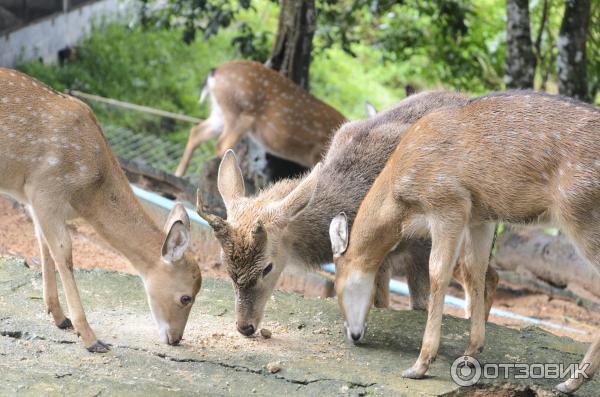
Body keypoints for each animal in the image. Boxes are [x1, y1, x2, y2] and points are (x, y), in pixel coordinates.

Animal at [0, 68, 203, 350]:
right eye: (186, 297)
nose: (175, 338)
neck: (86, 195)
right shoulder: (45, 190)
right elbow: (64, 253)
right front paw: (90, 337)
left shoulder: (35, 201)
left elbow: (44, 246)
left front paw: (60, 318)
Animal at [172, 59, 346, 176]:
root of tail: (215, 71)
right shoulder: (317, 154)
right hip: (240, 113)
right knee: (222, 144)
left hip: (220, 112)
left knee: (196, 132)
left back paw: (178, 174)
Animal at [195, 90, 500, 338]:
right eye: (226, 266)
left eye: (267, 267)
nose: (244, 327)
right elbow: (379, 301)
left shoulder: (422, 243)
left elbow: (421, 304)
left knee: (484, 276)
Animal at [328, 90, 600, 392]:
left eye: (341, 286)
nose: (353, 335)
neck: (399, 203)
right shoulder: (482, 217)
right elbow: (475, 270)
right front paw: (471, 353)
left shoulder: (448, 203)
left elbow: (438, 273)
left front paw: (420, 364)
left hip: (580, 213)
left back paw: (571, 381)